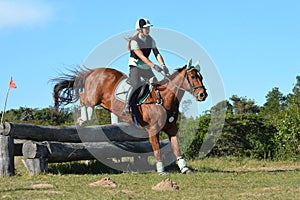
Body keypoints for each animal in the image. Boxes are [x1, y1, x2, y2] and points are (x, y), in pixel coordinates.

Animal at [52, 58, 206, 174]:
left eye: (201, 77)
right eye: (193, 76)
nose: (202, 95)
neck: (164, 97)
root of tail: (93, 71)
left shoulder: (171, 129)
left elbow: (176, 147)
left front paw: (185, 168)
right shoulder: (152, 129)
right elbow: (156, 150)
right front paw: (161, 171)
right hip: (93, 98)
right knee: (82, 98)